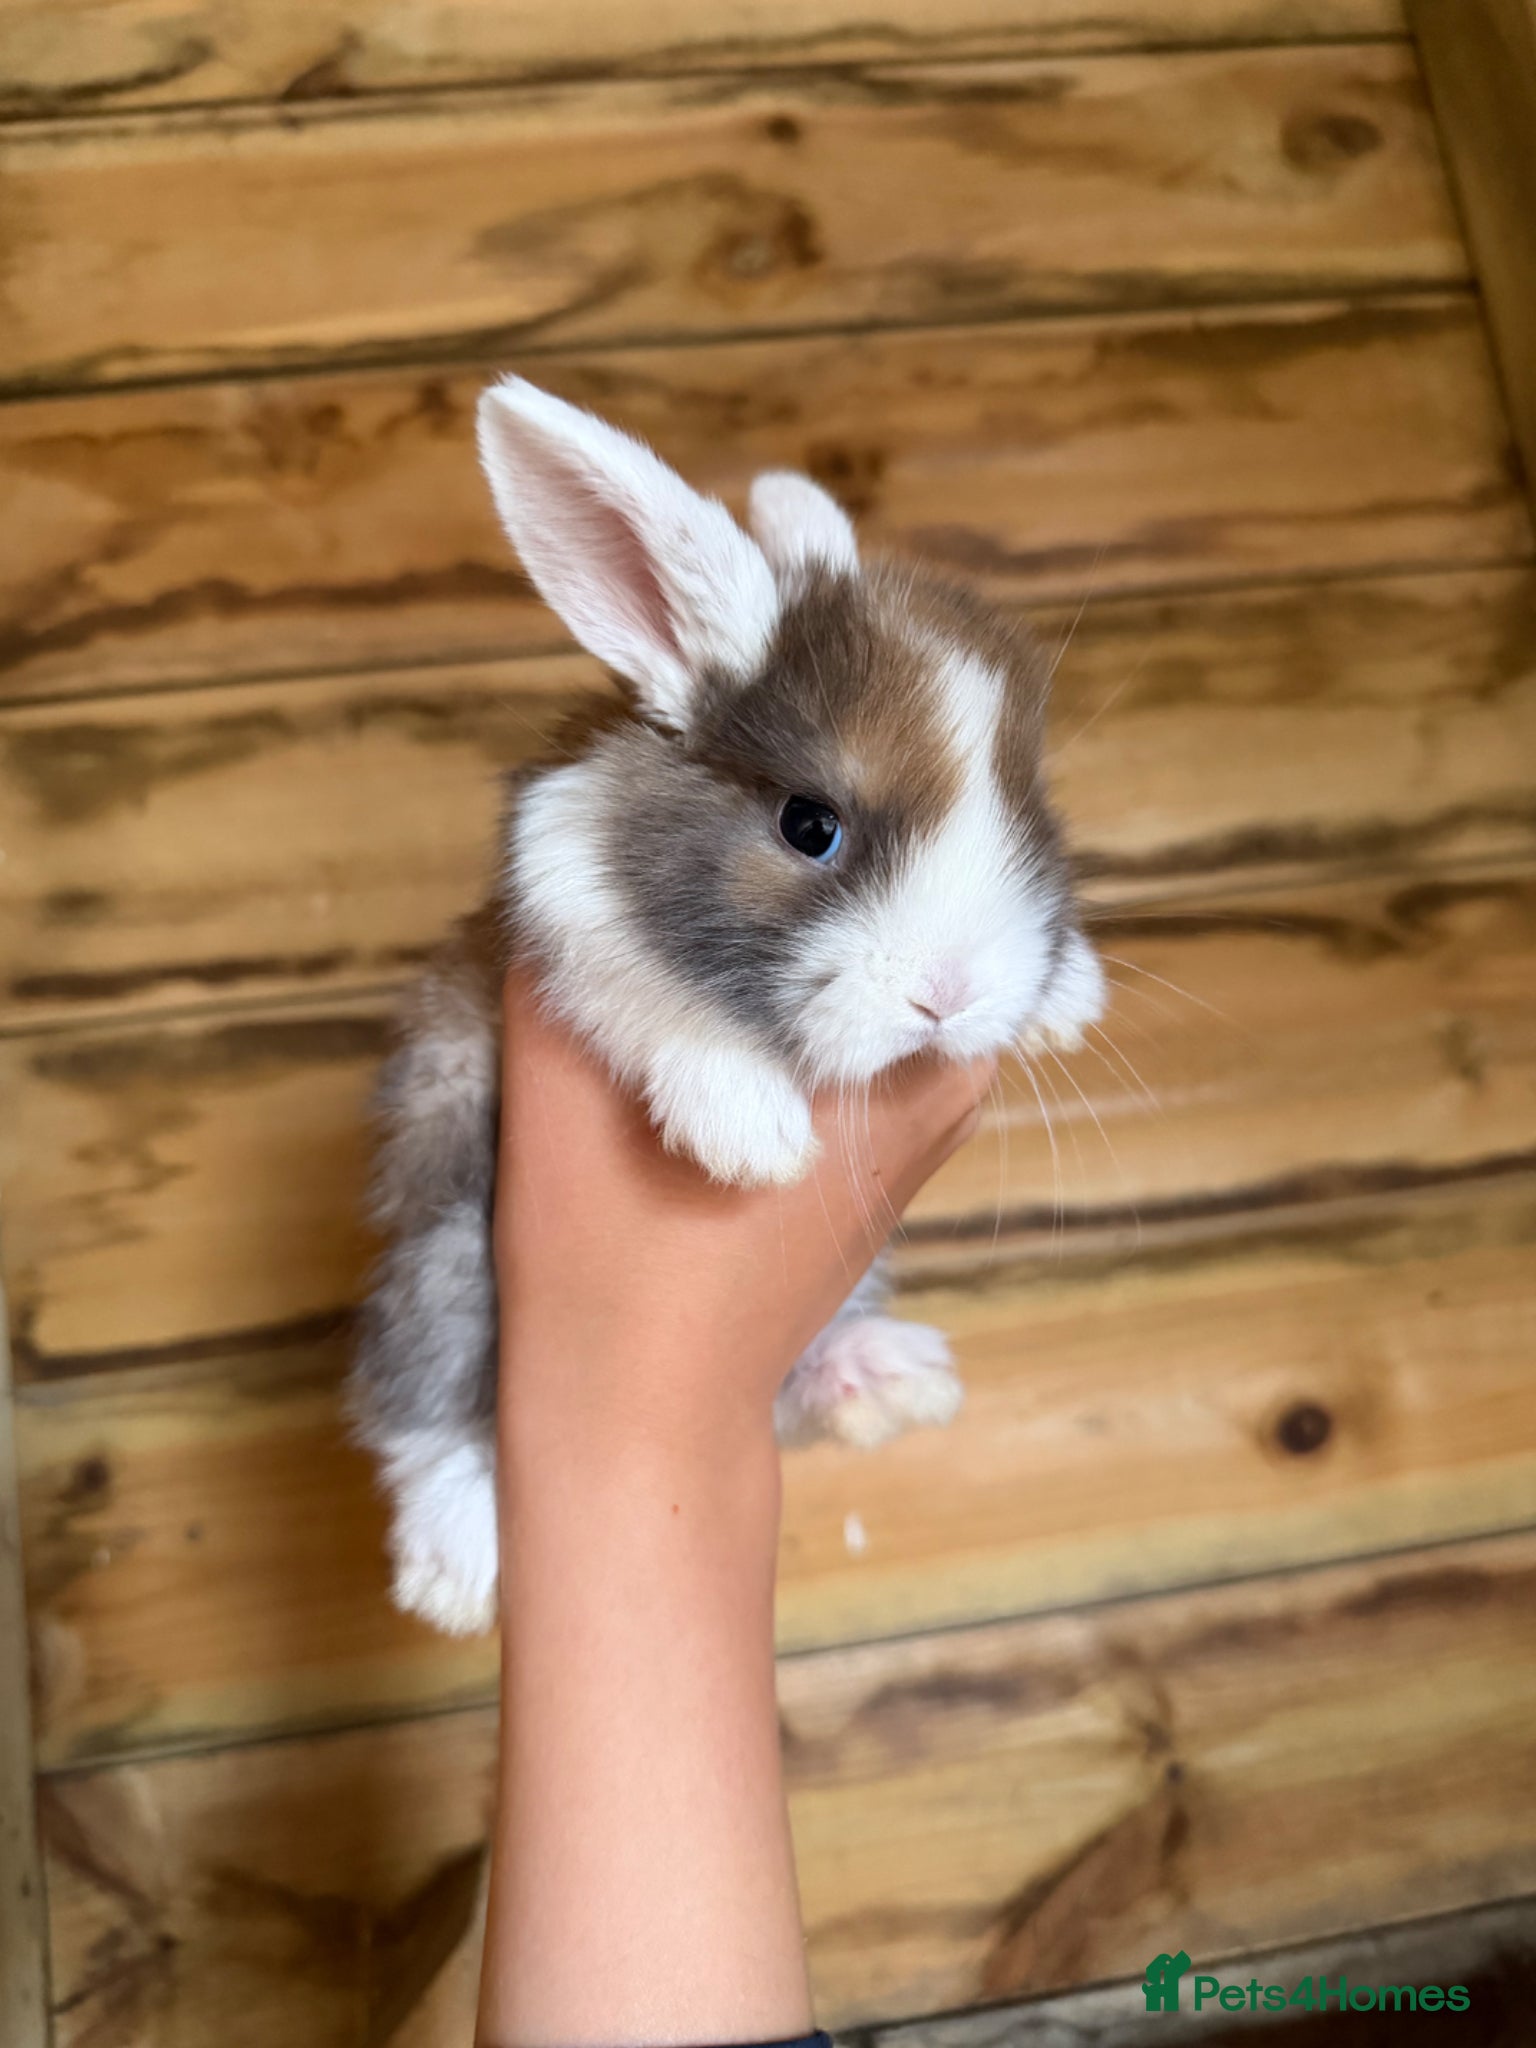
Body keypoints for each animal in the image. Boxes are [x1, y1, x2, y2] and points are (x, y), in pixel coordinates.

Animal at [350, 376, 1106, 1635]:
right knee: (422, 1404)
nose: (949, 994)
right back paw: (455, 1562)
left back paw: (880, 1377)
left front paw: (1069, 994)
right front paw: (750, 1136)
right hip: (448, 1256)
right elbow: (645, 997)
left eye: (1030, 814)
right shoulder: (556, 912)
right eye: (810, 824)